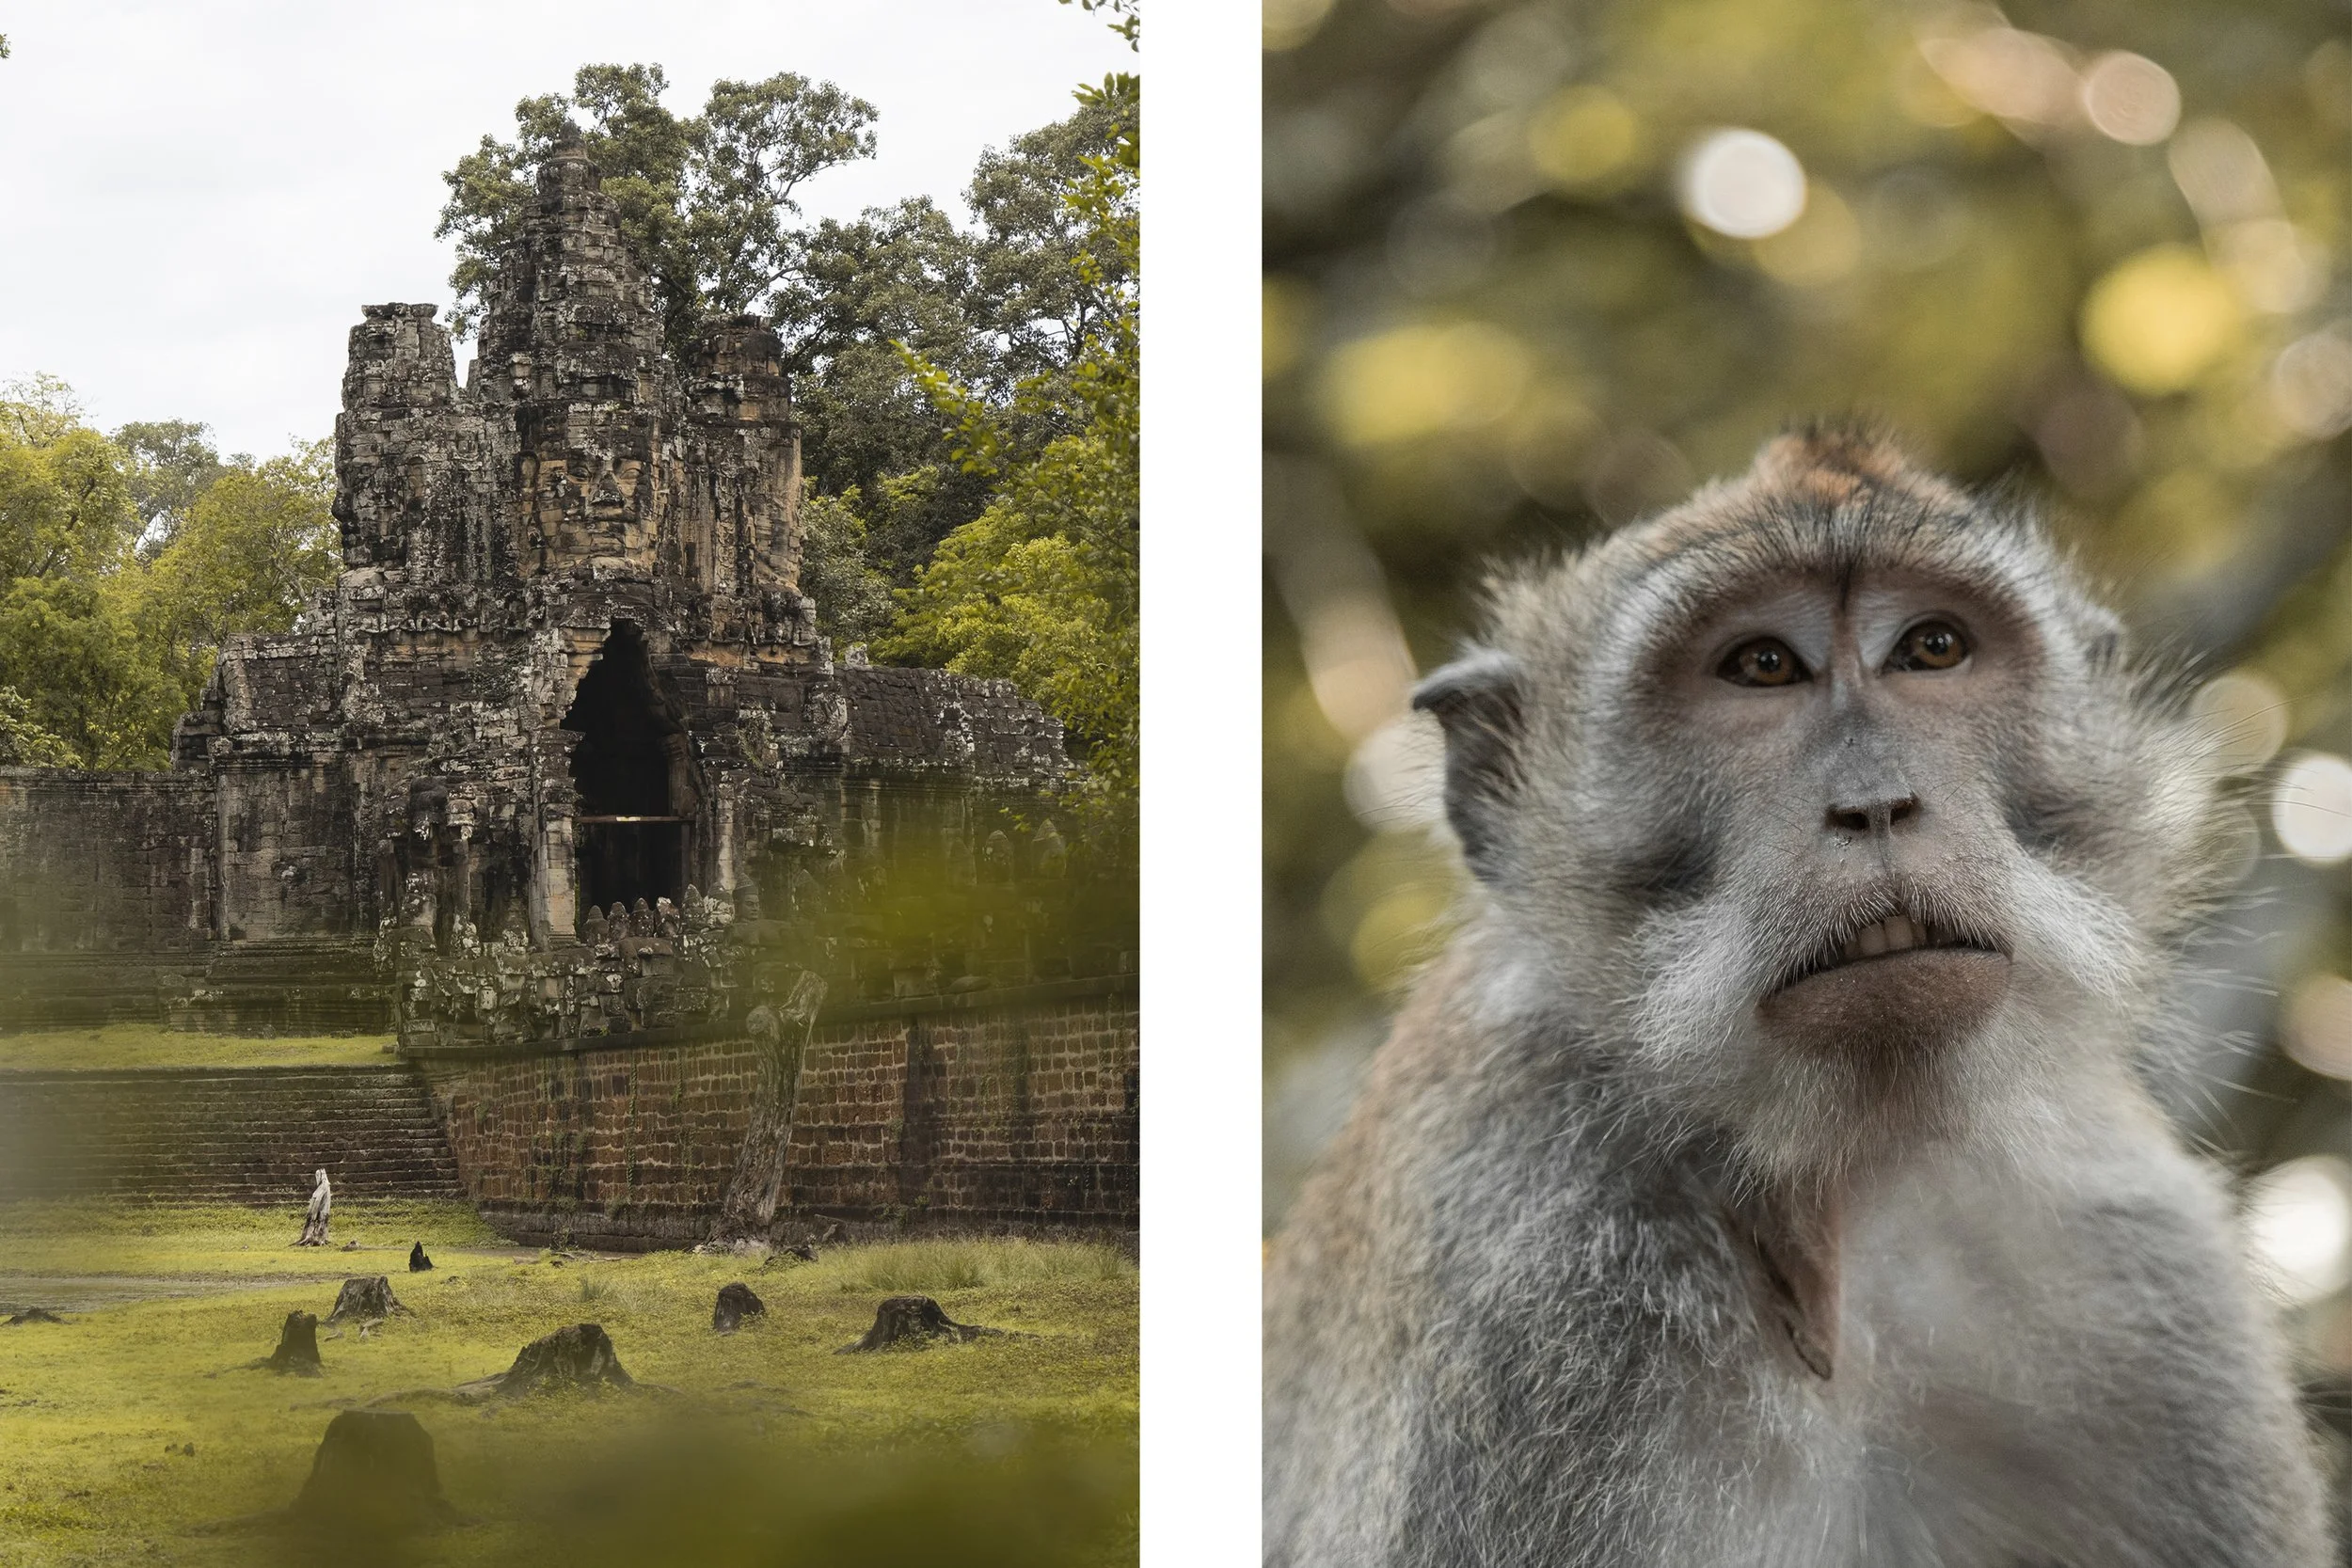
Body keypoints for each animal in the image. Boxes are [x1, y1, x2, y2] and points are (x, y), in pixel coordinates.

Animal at [1263, 427, 2333, 1568]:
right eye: (1762, 666)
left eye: (1932, 648)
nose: (1875, 802)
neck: (1837, 1176)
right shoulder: (1516, 1269)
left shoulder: (2151, 1261)